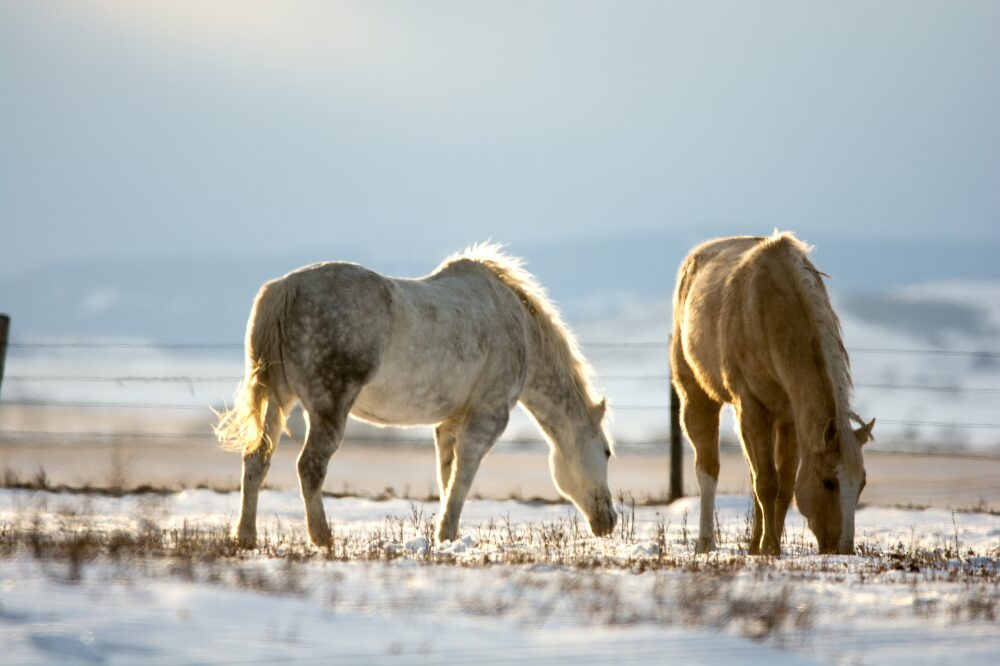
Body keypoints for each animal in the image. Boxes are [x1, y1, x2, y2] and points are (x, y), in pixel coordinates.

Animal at [215, 243, 617, 547]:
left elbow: (447, 476)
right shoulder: (487, 417)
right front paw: (447, 534)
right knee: (309, 468)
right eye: (607, 452)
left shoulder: (450, 423)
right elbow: (463, 475)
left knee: (257, 461)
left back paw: (246, 537)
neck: (519, 328)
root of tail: (284, 288)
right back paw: (322, 538)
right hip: (328, 408)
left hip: (278, 400)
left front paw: (445, 535)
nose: (610, 520)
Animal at [670, 233, 874, 555]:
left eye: (862, 483)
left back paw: (752, 545)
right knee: (708, 471)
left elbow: (784, 485)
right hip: (698, 397)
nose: (842, 548)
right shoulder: (751, 407)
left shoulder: (789, 418)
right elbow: (767, 483)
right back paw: (706, 543)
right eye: (828, 482)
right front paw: (770, 549)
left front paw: (768, 546)